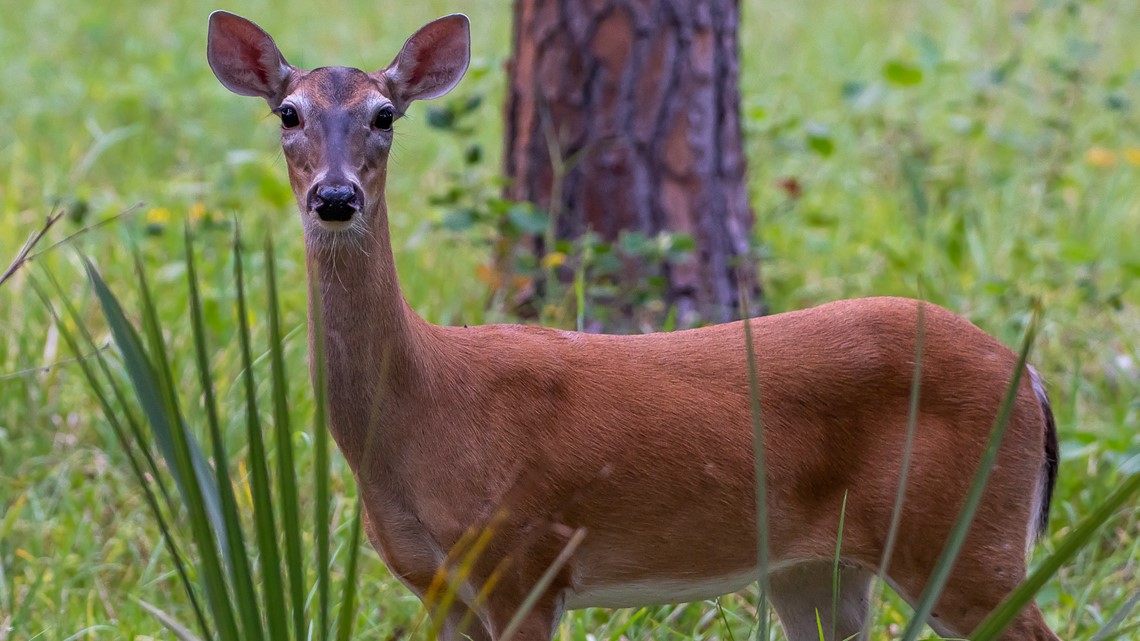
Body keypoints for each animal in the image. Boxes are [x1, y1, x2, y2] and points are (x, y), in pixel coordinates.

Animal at [209, 9, 1062, 638]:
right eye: (288, 112)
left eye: (385, 114)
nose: (336, 196)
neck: (421, 406)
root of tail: (1033, 381)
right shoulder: (436, 582)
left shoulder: (526, 556)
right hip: (818, 568)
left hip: (964, 537)